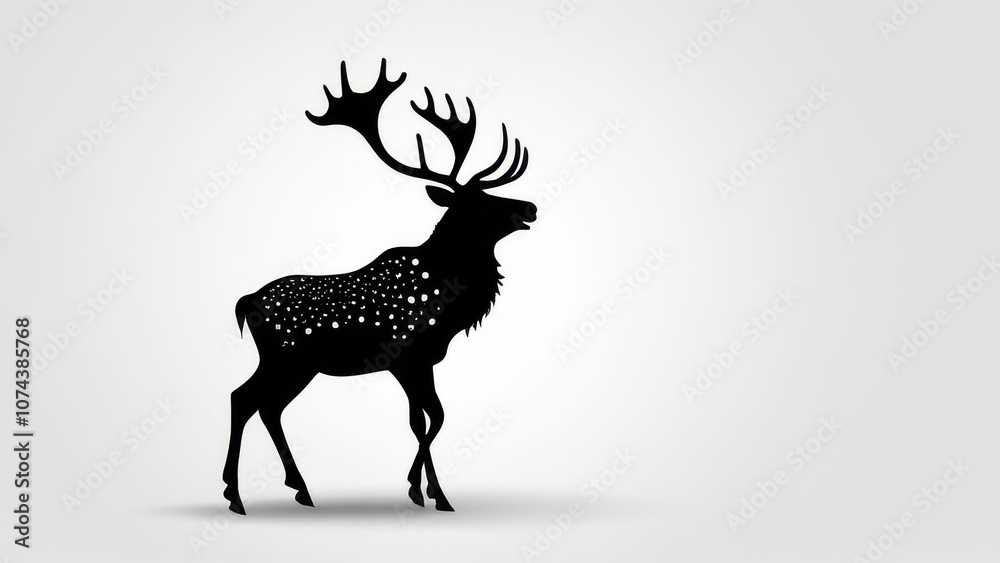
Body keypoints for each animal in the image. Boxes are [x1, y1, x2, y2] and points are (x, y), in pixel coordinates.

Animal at [222, 59, 536, 514]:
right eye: (478, 202)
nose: (529, 207)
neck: (451, 303)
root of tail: (245, 302)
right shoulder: (407, 357)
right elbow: (428, 420)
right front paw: (432, 494)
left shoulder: (421, 362)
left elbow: (428, 419)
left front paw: (421, 490)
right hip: (285, 357)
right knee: (244, 399)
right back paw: (236, 495)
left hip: (297, 365)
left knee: (265, 406)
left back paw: (298, 489)